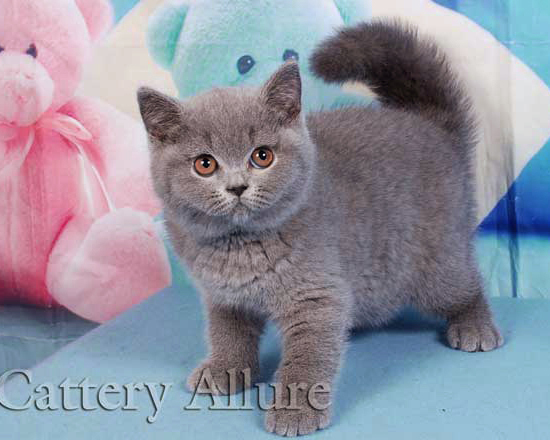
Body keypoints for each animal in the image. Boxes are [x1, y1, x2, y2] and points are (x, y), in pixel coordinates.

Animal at [138, 21, 504, 440]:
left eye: (262, 156)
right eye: (204, 164)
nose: (237, 187)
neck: (239, 245)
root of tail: (431, 125)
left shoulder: (314, 295)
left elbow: (307, 356)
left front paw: (296, 410)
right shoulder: (224, 296)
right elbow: (228, 333)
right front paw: (224, 371)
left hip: (434, 261)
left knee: (464, 285)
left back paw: (475, 326)